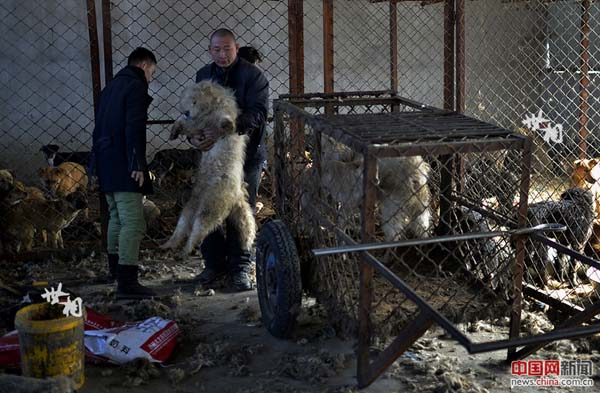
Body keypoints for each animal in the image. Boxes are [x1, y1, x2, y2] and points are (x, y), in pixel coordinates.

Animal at [159, 81, 255, 256]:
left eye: (194, 101)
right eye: (189, 101)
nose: (186, 112)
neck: (211, 110)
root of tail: (238, 193)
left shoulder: (212, 120)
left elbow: (226, 122)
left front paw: (228, 124)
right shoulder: (198, 126)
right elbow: (184, 124)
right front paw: (174, 131)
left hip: (209, 209)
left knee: (197, 232)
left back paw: (184, 251)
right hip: (192, 205)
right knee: (182, 228)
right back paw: (169, 245)